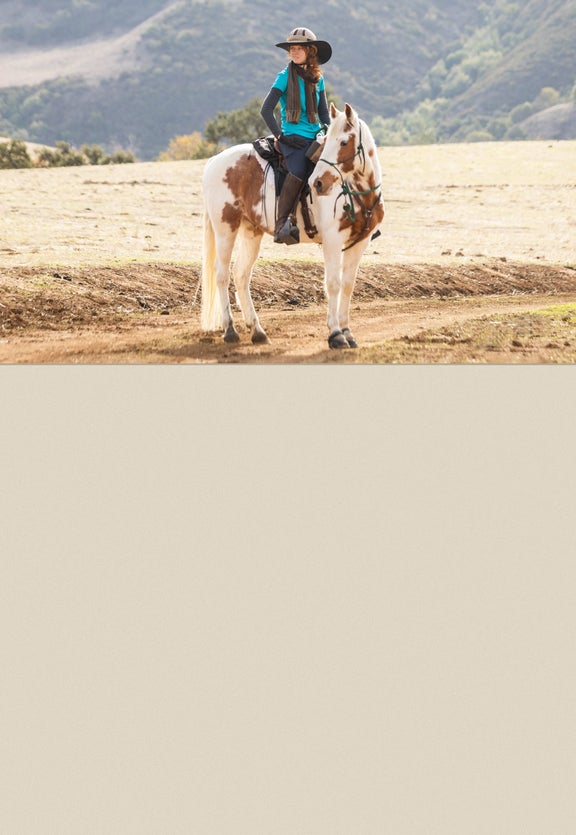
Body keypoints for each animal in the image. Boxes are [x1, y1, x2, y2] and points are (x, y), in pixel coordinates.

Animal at [200, 103, 385, 349]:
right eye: (328, 141)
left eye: (344, 142)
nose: (317, 183)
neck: (357, 191)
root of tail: (214, 161)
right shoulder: (333, 241)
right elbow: (333, 284)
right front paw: (336, 334)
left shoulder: (360, 243)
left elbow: (347, 285)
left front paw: (348, 333)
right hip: (225, 228)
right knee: (222, 274)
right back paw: (230, 330)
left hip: (251, 231)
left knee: (241, 275)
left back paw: (257, 331)